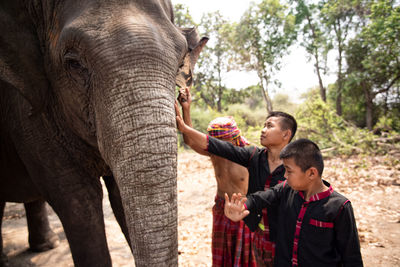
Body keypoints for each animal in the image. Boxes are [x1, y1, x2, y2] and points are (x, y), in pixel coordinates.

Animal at [0, 0, 206, 266]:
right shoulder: (28, 112)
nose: (179, 104)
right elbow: (78, 201)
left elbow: (120, 196)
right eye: (74, 64)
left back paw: (46, 246)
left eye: (180, 62)